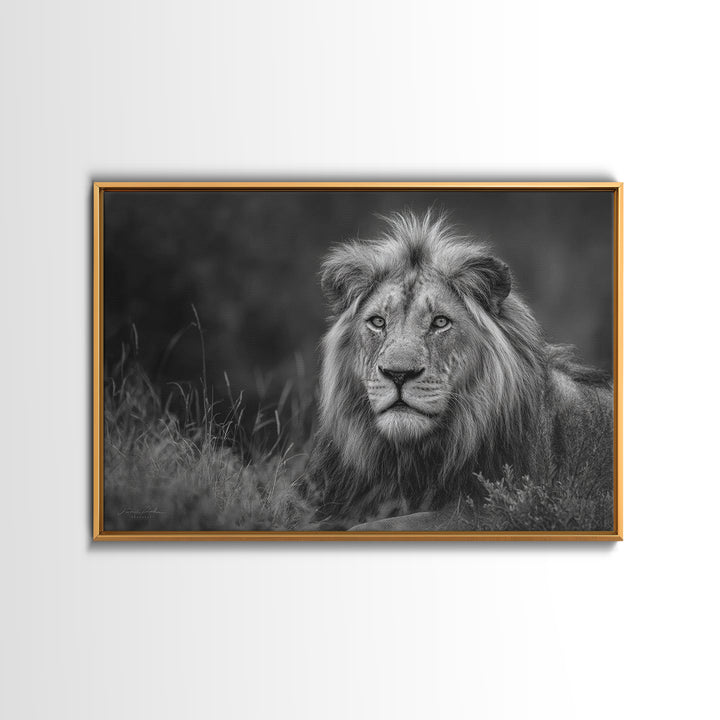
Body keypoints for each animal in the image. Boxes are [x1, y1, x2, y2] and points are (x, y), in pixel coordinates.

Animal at [305, 209, 614, 531]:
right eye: (378, 322)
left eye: (440, 322)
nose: (398, 374)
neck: (409, 459)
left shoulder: (493, 511)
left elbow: (381, 526)